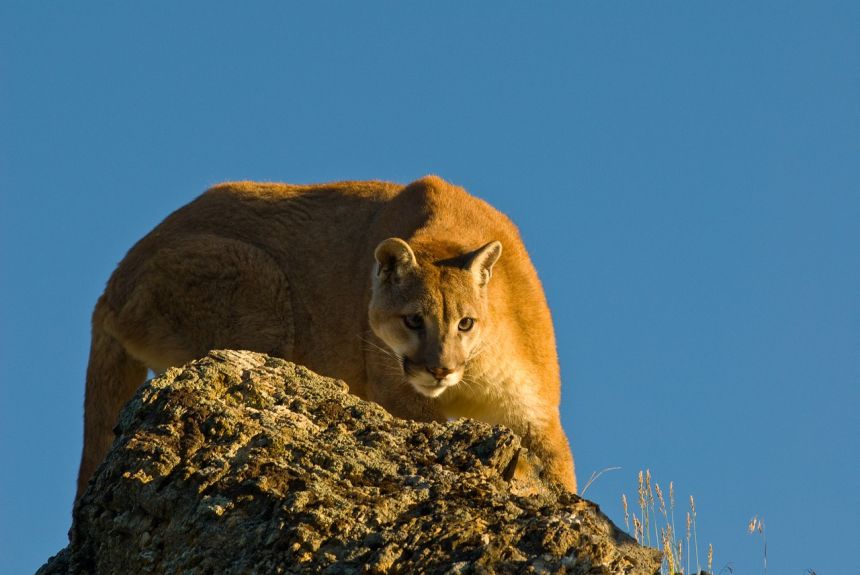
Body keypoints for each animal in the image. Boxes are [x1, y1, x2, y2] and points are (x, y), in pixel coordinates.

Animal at [79, 176, 576, 500]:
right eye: (414, 320)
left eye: (466, 323)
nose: (439, 368)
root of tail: (110, 287)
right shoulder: (399, 391)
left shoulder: (535, 412)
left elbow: (562, 473)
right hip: (261, 293)